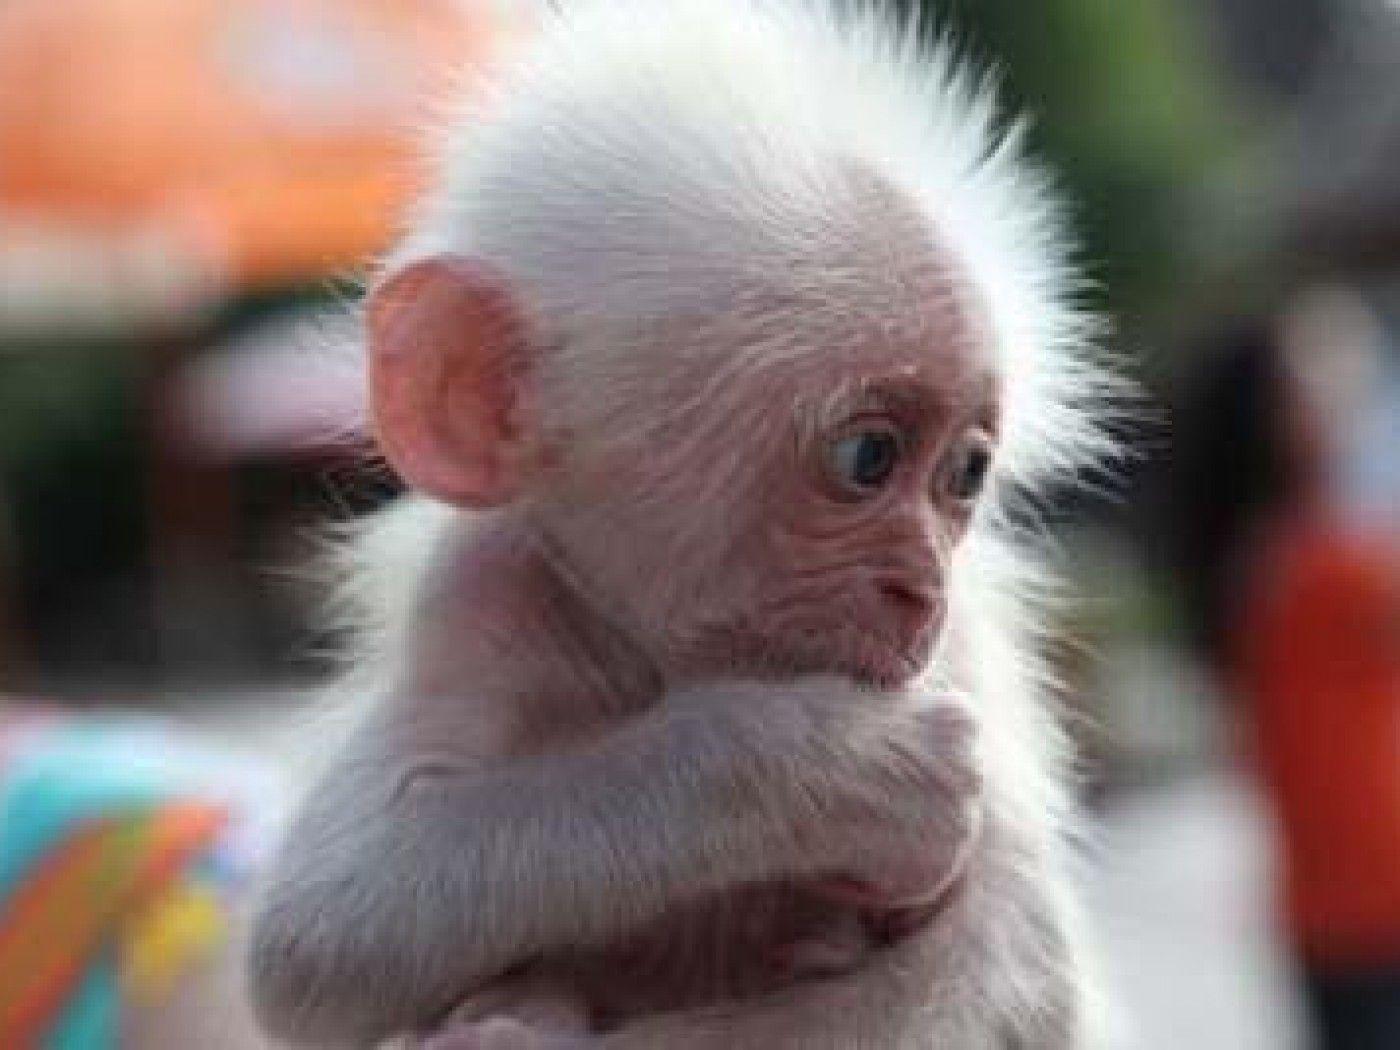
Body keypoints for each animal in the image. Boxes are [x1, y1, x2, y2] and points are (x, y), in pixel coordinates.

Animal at [247, 1, 1119, 1047]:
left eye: (965, 473)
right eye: (868, 459)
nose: (920, 591)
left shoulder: (961, 651)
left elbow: (1005, 974)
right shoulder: (483, 590)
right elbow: (318, 934)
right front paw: (833, 769)